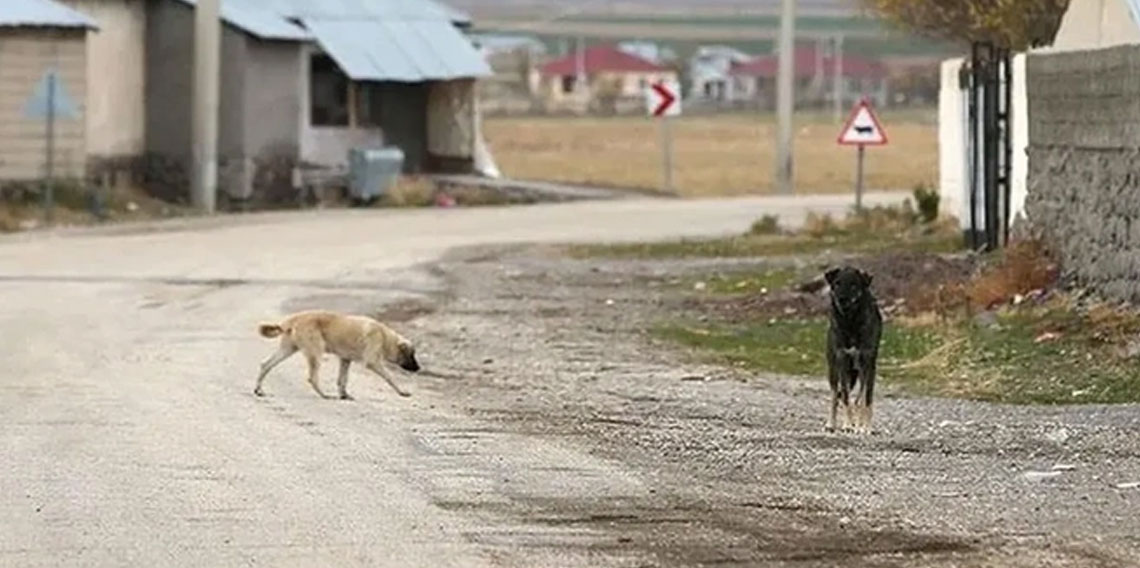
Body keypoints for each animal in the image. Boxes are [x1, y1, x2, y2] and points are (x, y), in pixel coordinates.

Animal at [254, 310, 424, 399]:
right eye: (412, 355)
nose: (418, 369)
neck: (385, 337)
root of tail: (292, 320)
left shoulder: (345, 359)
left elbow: (343, 379)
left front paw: (344, 395)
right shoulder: (373, 362)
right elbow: (390, 377)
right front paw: (402, 391)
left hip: (288, 349)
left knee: (265, 364)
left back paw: (259, 390)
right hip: (315, 352)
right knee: (312, 376)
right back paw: (323, 394)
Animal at [825, 263, 884, 433]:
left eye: (853, 285)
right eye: (837, 283)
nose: (841, 299)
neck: (850, 322)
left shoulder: (867, 364)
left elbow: (863, 399)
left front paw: (864, 427)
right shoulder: (842, 362)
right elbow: (845, 397)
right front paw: (847, 424)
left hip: (859, 373)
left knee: (861, 398)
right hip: (834, 370)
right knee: (834, 396)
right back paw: (831, 424)